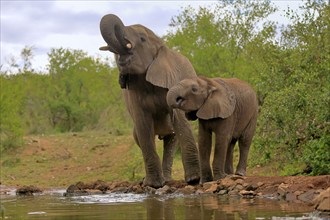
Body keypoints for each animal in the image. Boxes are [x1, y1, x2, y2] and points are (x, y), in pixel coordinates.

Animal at [99, 14, 200, 188]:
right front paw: (153, 185)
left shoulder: (173, 80)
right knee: (140, 136)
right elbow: (143, 124)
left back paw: (168, 180)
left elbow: (180, 118)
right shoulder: (133, 91)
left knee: (172, 139)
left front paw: (194, 180)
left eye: (142, 39)